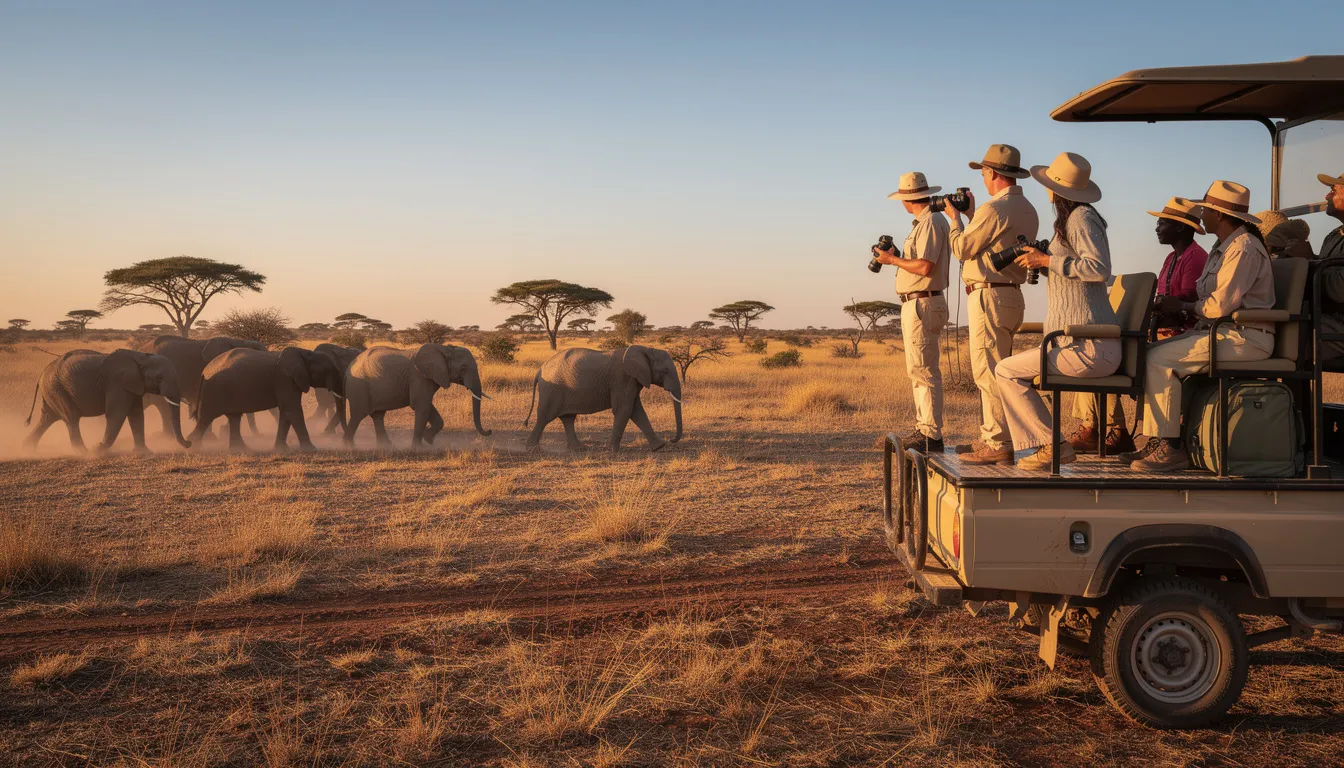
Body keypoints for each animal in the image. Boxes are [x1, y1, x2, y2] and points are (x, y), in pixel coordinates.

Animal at [24, 349, 191, 453]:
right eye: (159, 377)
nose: (189, 443)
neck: (141, 357)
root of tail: (42, 373)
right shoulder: (117, 384)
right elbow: (116, 414)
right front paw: (97, 449)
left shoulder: (134, 386)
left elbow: (136, 415)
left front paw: (145, 452)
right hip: (57, 389)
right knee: (71, 418)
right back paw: (84, 452)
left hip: (53, 390)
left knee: (48, 417)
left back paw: (27, 449)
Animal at [189, 347, 344, 451]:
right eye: (329, 370)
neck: (304, 353)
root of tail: (204, 371)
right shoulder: (284, 379)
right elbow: (292, 410)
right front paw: (312, 450)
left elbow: (286, 412)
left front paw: (282, 449)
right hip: (214, 391)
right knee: (206, 417)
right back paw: (194, 447)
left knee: (234, 417)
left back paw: (243, 449)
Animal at [343, 344, 491, 449]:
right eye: (463, 368)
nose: (489, 431)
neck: (444, 349)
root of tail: (348, 367)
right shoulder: (419, 377)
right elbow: (421, 405)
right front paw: (417, 447)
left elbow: (427, 407)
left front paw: (428, 439)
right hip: (359, 387)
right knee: (358, 414)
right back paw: (349, 446)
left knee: (378, 415)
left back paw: (387, 446)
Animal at [524, 345, 682, 452]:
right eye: (665, 371)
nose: (672, 439)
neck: (647, 350)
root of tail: (539, 370)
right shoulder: (622, 379)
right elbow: (624, 410)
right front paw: (614, 451)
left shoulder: (633, 381)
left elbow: (637, 411)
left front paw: (659, 447)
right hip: (552, 390)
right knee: (545, 416)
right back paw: (532, 449)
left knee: (568, 418)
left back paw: (578, 448)